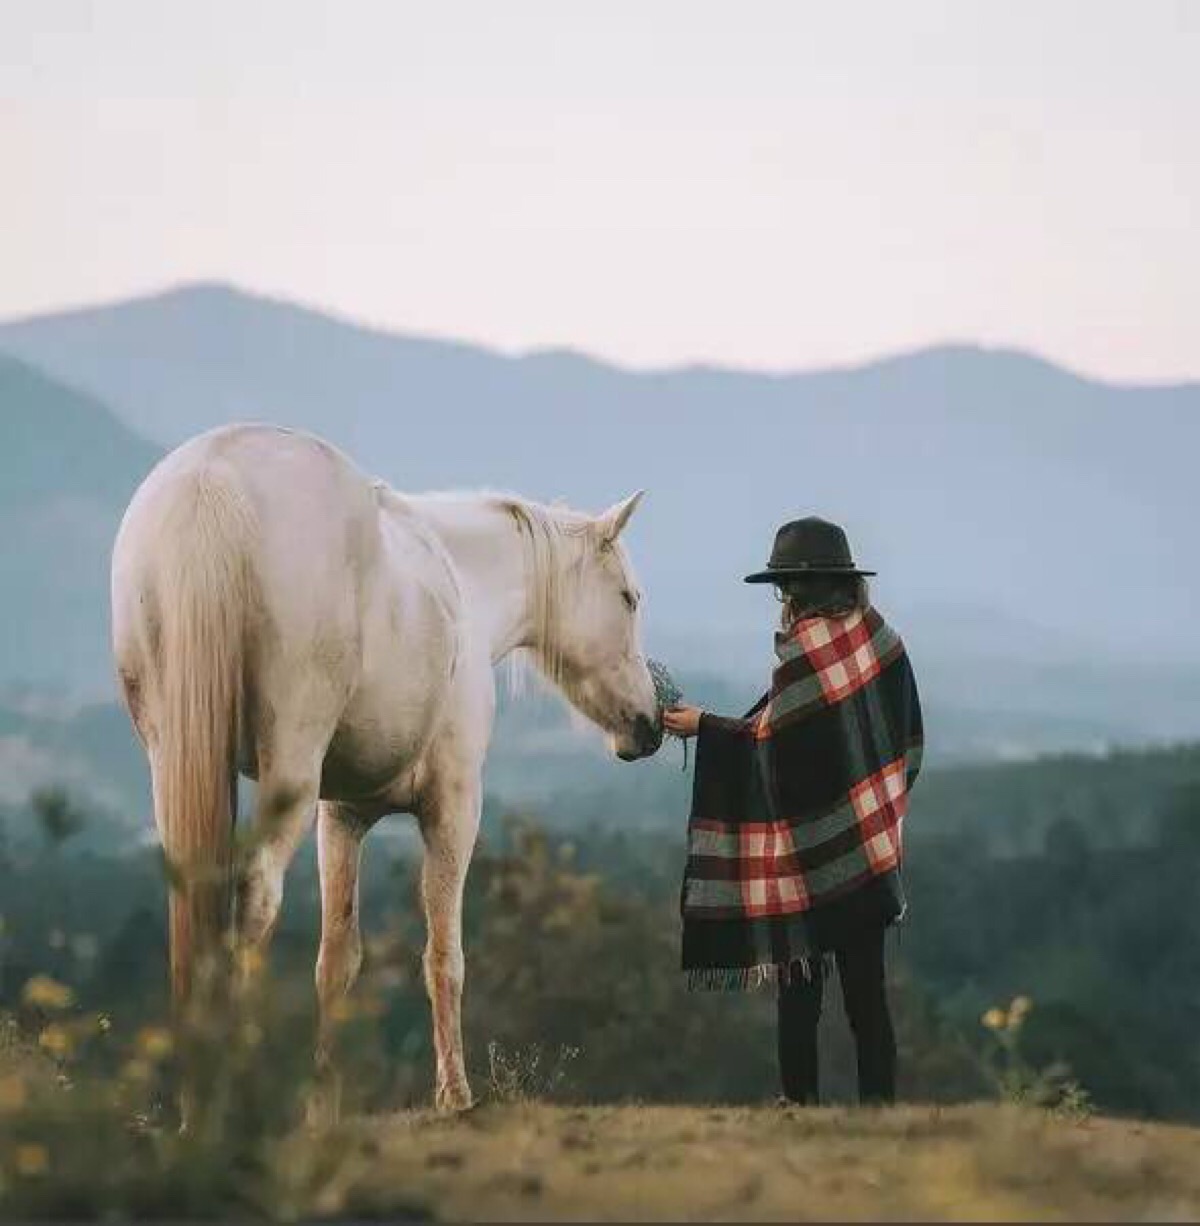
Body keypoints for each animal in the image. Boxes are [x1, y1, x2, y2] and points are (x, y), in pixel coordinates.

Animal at [107, 421, 661, 1113]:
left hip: (175, 762)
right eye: (629, 598)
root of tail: (211, 480)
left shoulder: (341, 818)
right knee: (256, 899)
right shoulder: (453, 806)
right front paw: (455, 1095)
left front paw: (324, 1104)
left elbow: (337, 960)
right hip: (287, 773)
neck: (460, 583)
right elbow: (444, 955)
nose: (650, 725)